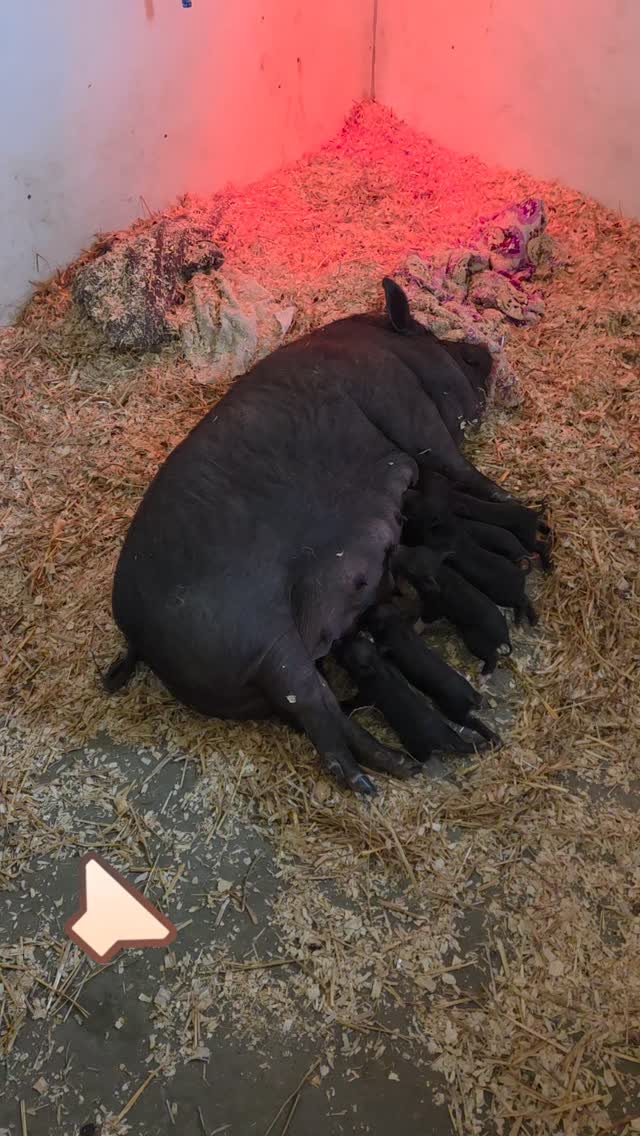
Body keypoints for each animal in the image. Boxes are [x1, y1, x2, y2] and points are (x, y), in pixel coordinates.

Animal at [337, 634, 490, 761]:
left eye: (347, 654)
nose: (337, 641)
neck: (377, 666)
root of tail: (450, 739)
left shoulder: (366, 696)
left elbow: (354, 702)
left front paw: (341, 703)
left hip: (417, 744)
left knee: (422, 758)